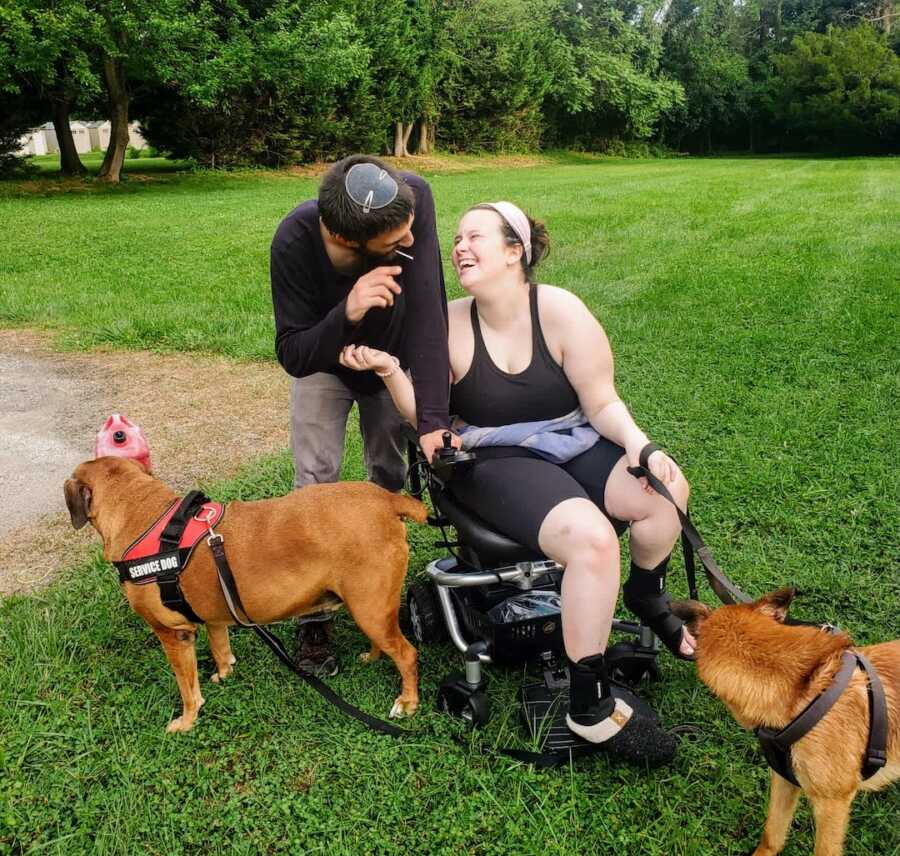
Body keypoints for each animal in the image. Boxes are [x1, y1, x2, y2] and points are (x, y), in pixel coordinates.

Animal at [67, 458, 426, 732]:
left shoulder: (173, 634)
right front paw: (225, 673)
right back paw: (373, 657)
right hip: (370, 607)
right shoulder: (213, 617)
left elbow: (187, 688)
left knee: (407, 654)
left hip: (369, 608)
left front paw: (187, 720)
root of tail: (387, 499)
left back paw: (407, 702)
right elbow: (220, 647)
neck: (141, 511)